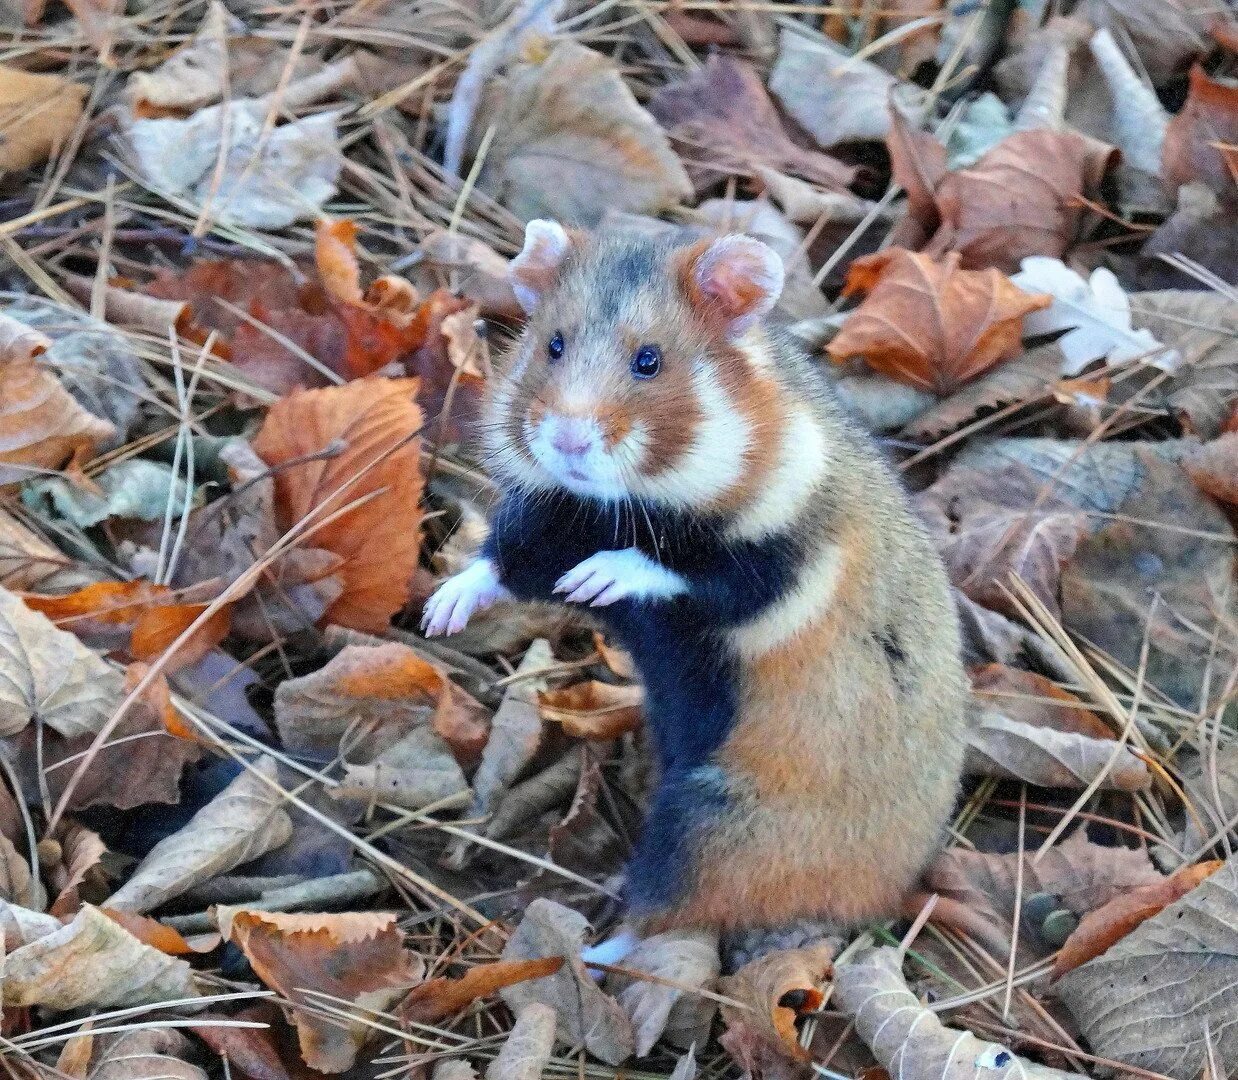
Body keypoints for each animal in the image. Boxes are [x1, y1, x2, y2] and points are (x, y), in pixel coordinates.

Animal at [423, 219, 965, 951]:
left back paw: (591, 950)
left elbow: (686, 569)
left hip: (710, 827)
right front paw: (440, 611)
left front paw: (599, 577)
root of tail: (890, 894)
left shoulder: (781, 564)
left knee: (671, 916)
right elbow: (510, 562)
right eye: (553, 344)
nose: (567, 441)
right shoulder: (558, 518)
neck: (635, 498)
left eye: (649, 361)